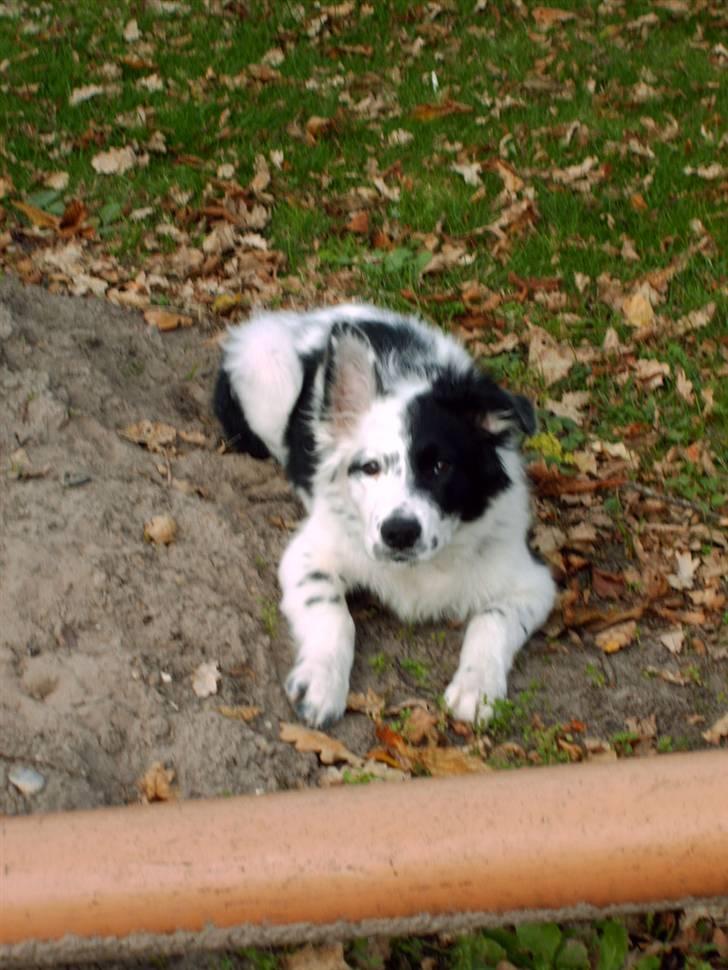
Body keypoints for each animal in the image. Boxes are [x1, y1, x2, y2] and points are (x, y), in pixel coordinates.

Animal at [213, 306, 556, 724]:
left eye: (440, 466)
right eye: (370, 468)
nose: (400, 533)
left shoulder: (533, 582)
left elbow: (492, 620)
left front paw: (477, 686)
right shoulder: (308, 556)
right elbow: (335, 615)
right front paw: (322, 682)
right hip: (271, 379)